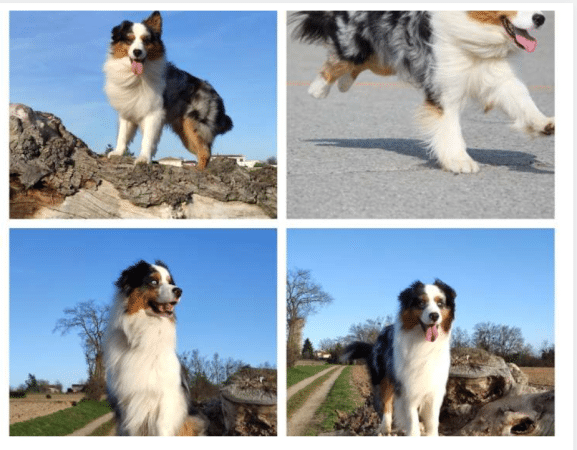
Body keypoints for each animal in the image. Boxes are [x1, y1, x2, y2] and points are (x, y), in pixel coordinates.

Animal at [103, 11, 232, 169]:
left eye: (146, 40)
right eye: (129, 40)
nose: (137, 52)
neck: (136, 77)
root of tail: (216, 96)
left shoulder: (154, 112)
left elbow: (147, 139)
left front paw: (143, 159)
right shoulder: (127, 109)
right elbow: (122, 135)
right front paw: (118, 152)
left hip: (194, 126)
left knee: (205, 152)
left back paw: (198, 171)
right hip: (185, 132)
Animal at [103, 260, 207, 436]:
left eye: (170, 282)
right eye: (153, 281)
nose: (179, 290)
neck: (145, 332)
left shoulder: (167, 397)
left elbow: (162, 428)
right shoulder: (127, 400)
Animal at [292, 11, 552, 174]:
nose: (541, 18)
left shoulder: (496, 75)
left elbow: (521, 101)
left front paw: (543, 124)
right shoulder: (443, 83)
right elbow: (449, 125)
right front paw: (459, 161)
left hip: (385, 55)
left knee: (361, 63)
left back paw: (342, 84)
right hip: (360, 41)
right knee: (342, 58)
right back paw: (318, 89)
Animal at [342, 280, 454, 434]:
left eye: (440, 303)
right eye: (421, 303)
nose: (434, 316)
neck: (422, 343)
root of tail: (374, 344)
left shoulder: (434, 387)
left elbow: (432, 420)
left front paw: (431, 434)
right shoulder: (407, 386)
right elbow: (411, 418)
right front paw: (413, 433)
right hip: (383, 379)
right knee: (386, 404)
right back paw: (385, 427)